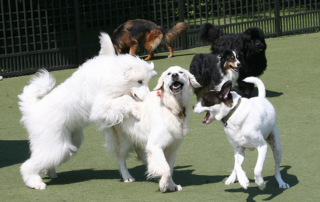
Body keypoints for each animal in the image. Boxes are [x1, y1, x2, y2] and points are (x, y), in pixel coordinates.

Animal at [18, 45, 156, 189]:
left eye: (147, 82)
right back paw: (36, 183)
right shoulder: (100, 106)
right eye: (139, 81)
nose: (148, 96)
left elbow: (125, 100)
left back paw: (49, 172)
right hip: (57, 147)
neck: (114, 74)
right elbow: (126, 99)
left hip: (71, 141)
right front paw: (137, 110)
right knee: (27, 166)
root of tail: (33, 110)